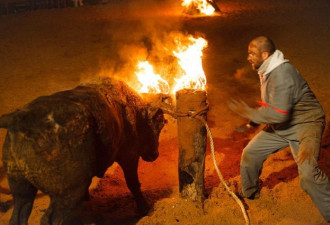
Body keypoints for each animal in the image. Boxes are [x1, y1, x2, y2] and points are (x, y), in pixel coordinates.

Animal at [0, 78, 166, 225]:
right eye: (158, 126)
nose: (155, 155)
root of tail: (19, 119)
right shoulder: (129, 156)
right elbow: (133, 184)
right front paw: (145, 209)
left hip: (20, 188)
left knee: (18, 215)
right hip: (66, 193)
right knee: (49, 219)